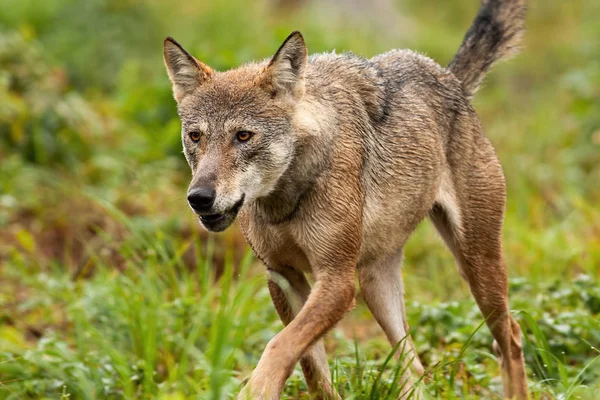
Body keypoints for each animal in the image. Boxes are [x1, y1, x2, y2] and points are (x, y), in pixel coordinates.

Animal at [162, 0, 528, 396]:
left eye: (243, 136)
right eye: (196, 137)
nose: (199, 197)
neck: (287, 200)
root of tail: (450, 77)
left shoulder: (337, 281)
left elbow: (279, 345)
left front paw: (255, 391)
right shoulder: (283, 277)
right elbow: (310, 367)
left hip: (476, 267)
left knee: (511, 337)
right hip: (376, 287)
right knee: (415, 368)